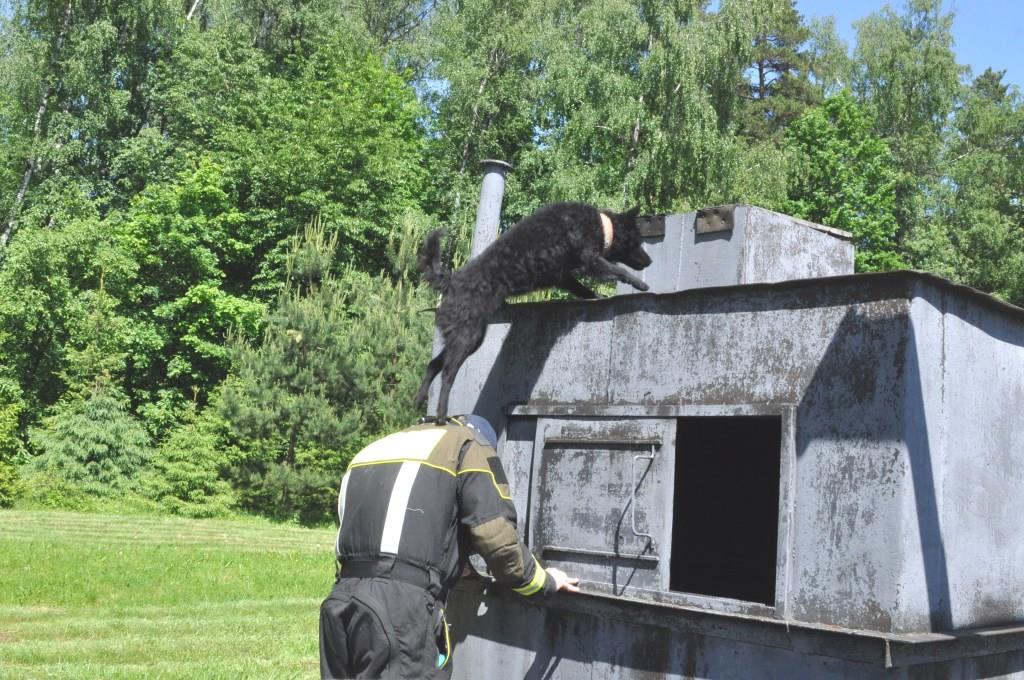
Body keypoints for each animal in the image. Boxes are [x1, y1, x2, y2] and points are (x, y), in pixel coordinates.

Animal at [411, 200, 651, 419]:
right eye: (638, 240)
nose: (649, 261)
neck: (600, 225)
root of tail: (450, 281)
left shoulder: (564, 276)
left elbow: (582, 288)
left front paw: (597, 296)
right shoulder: (590, 261)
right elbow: (618, 270)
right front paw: (640, 284)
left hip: (463, 338)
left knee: (433, 364)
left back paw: (419, 399)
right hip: (468, 338)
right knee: (447, 374)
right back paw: (441, 414)